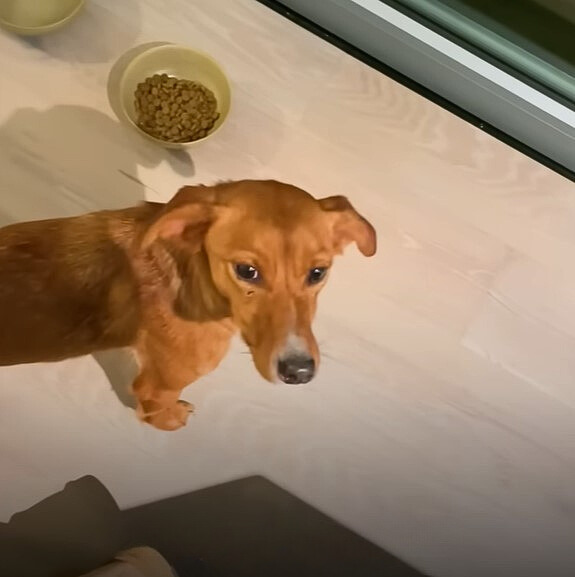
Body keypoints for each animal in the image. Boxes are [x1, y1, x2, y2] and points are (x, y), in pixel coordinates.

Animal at [0, 180, 376, 428]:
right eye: (246, 271)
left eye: (317, 272)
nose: (299, 373)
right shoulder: (159, 385)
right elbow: (156, 408)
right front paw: (171, 421)